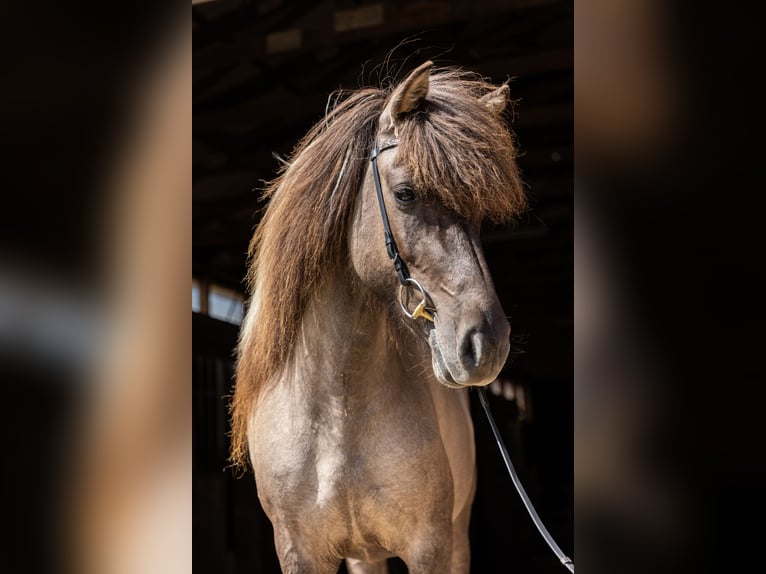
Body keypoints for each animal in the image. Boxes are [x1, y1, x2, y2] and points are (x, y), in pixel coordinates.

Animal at [230, 61, 526, 573]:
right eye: (405, 194)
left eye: (478, 216)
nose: (487, 344)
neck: (337, 413)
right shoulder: (300, 553)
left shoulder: (430, 547)